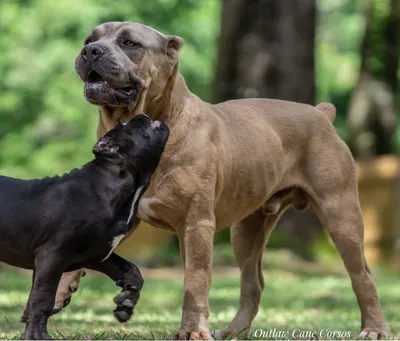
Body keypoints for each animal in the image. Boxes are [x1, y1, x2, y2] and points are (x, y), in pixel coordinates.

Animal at [0, 113, 169, 338]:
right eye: (126, 124)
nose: (141, 115)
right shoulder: (52, 254)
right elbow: (42, 297)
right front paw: (36, 335)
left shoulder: (97, 254)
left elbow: (132, 271)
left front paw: (126, 302)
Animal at [54, 22, 390, 338]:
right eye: (89, 39)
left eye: (129, 43)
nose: (90, 51)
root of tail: (322, 114)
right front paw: (59, 291)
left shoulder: (197, 223)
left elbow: (196, 281)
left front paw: (192, 330)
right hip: (248, 231)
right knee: (254, 283)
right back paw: (232, 332)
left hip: (340, 215)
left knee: (363, 275)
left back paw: (374, 328)